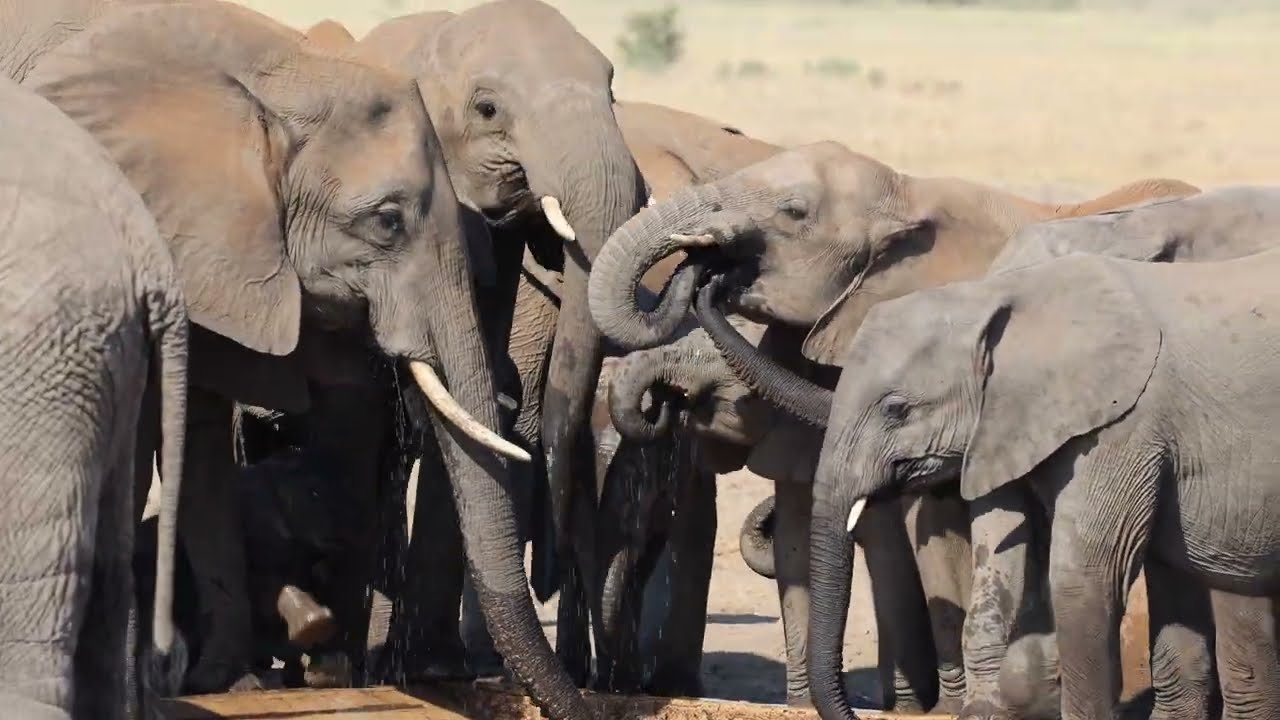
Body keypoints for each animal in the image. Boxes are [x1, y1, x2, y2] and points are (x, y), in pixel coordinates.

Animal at [588, 138, 1200, 717]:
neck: (904, 194)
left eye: (794, 211)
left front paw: (942, 709)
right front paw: (809, 707)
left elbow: (931, 523)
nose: (709, 270)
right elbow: (809, 527)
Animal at [811, 247, 1280, 720]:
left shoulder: (1124, 427)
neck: (996, 296)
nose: (864, 707)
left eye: (896, 409)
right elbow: (1171, 584)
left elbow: (1083, 577)